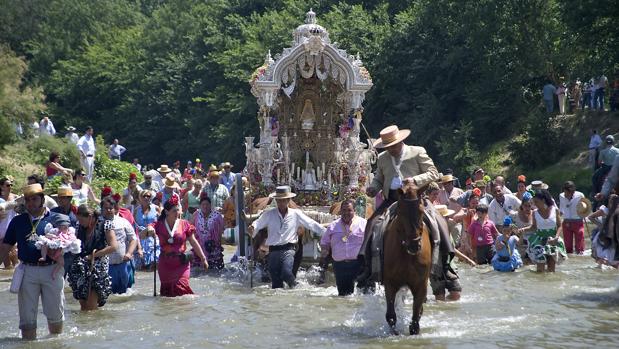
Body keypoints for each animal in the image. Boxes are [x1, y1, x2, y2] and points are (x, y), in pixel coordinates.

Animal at [382, 179, 432, 334]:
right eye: (401, 211)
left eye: (421, 210)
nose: (414, 245)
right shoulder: (390, 283)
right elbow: (391, 316)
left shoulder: (421, 284)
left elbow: (416, 317)